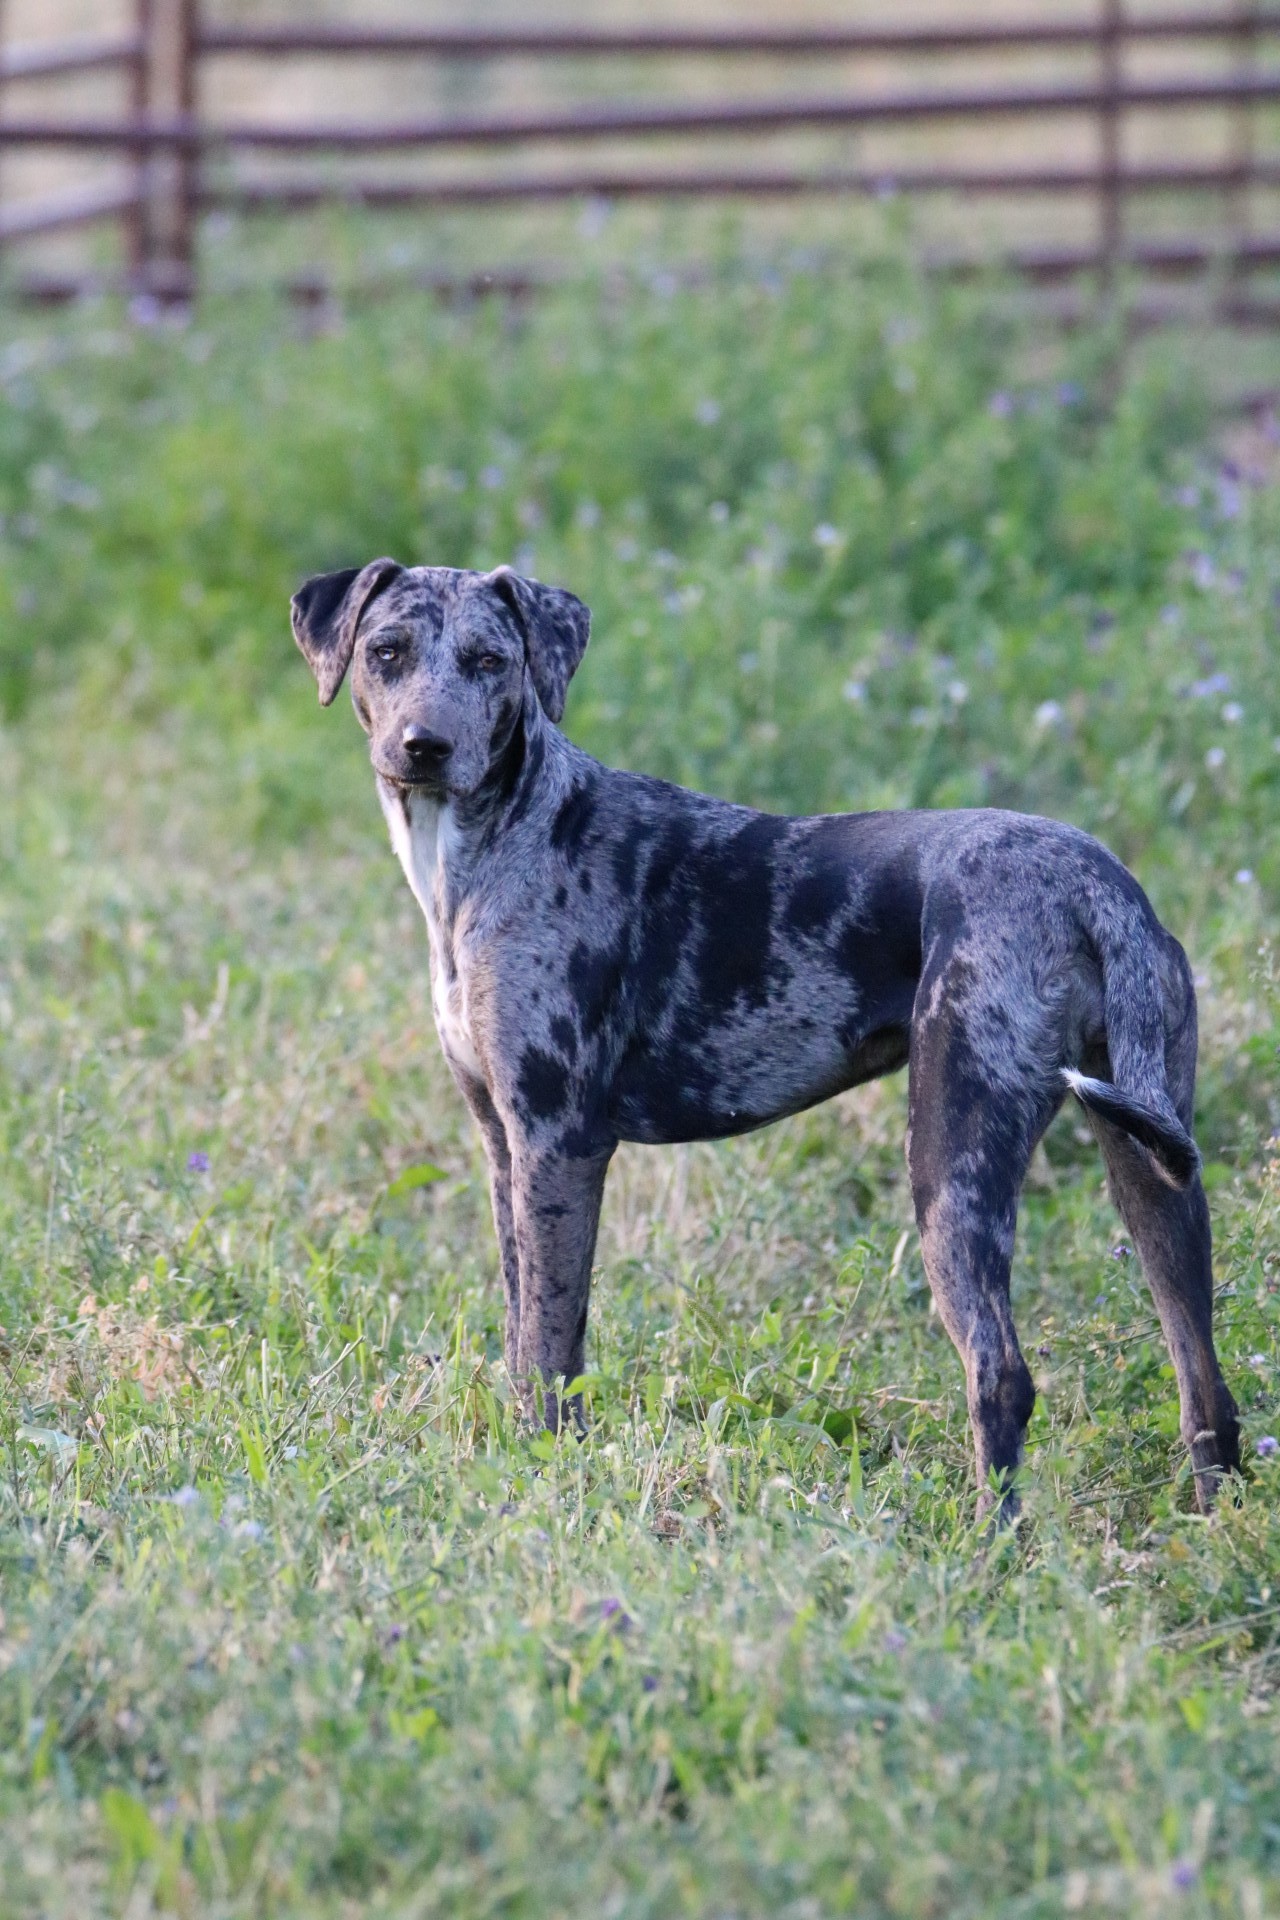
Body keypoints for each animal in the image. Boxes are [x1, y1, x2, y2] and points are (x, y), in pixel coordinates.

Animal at [293, 556, 1243, 1512]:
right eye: (387, 650)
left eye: (490, 660)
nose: (425, 745)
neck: (500, 843)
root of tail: (1094, 884)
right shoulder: (503, 1145)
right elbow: (524, 1328)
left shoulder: (559, 1146)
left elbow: (552, 1347)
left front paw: (549, 1475)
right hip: (1153, 1175)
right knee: (1203, 1375)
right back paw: (1213, 1519)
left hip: (952, 1162)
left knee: (1001, 1372)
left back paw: (988, 1538)